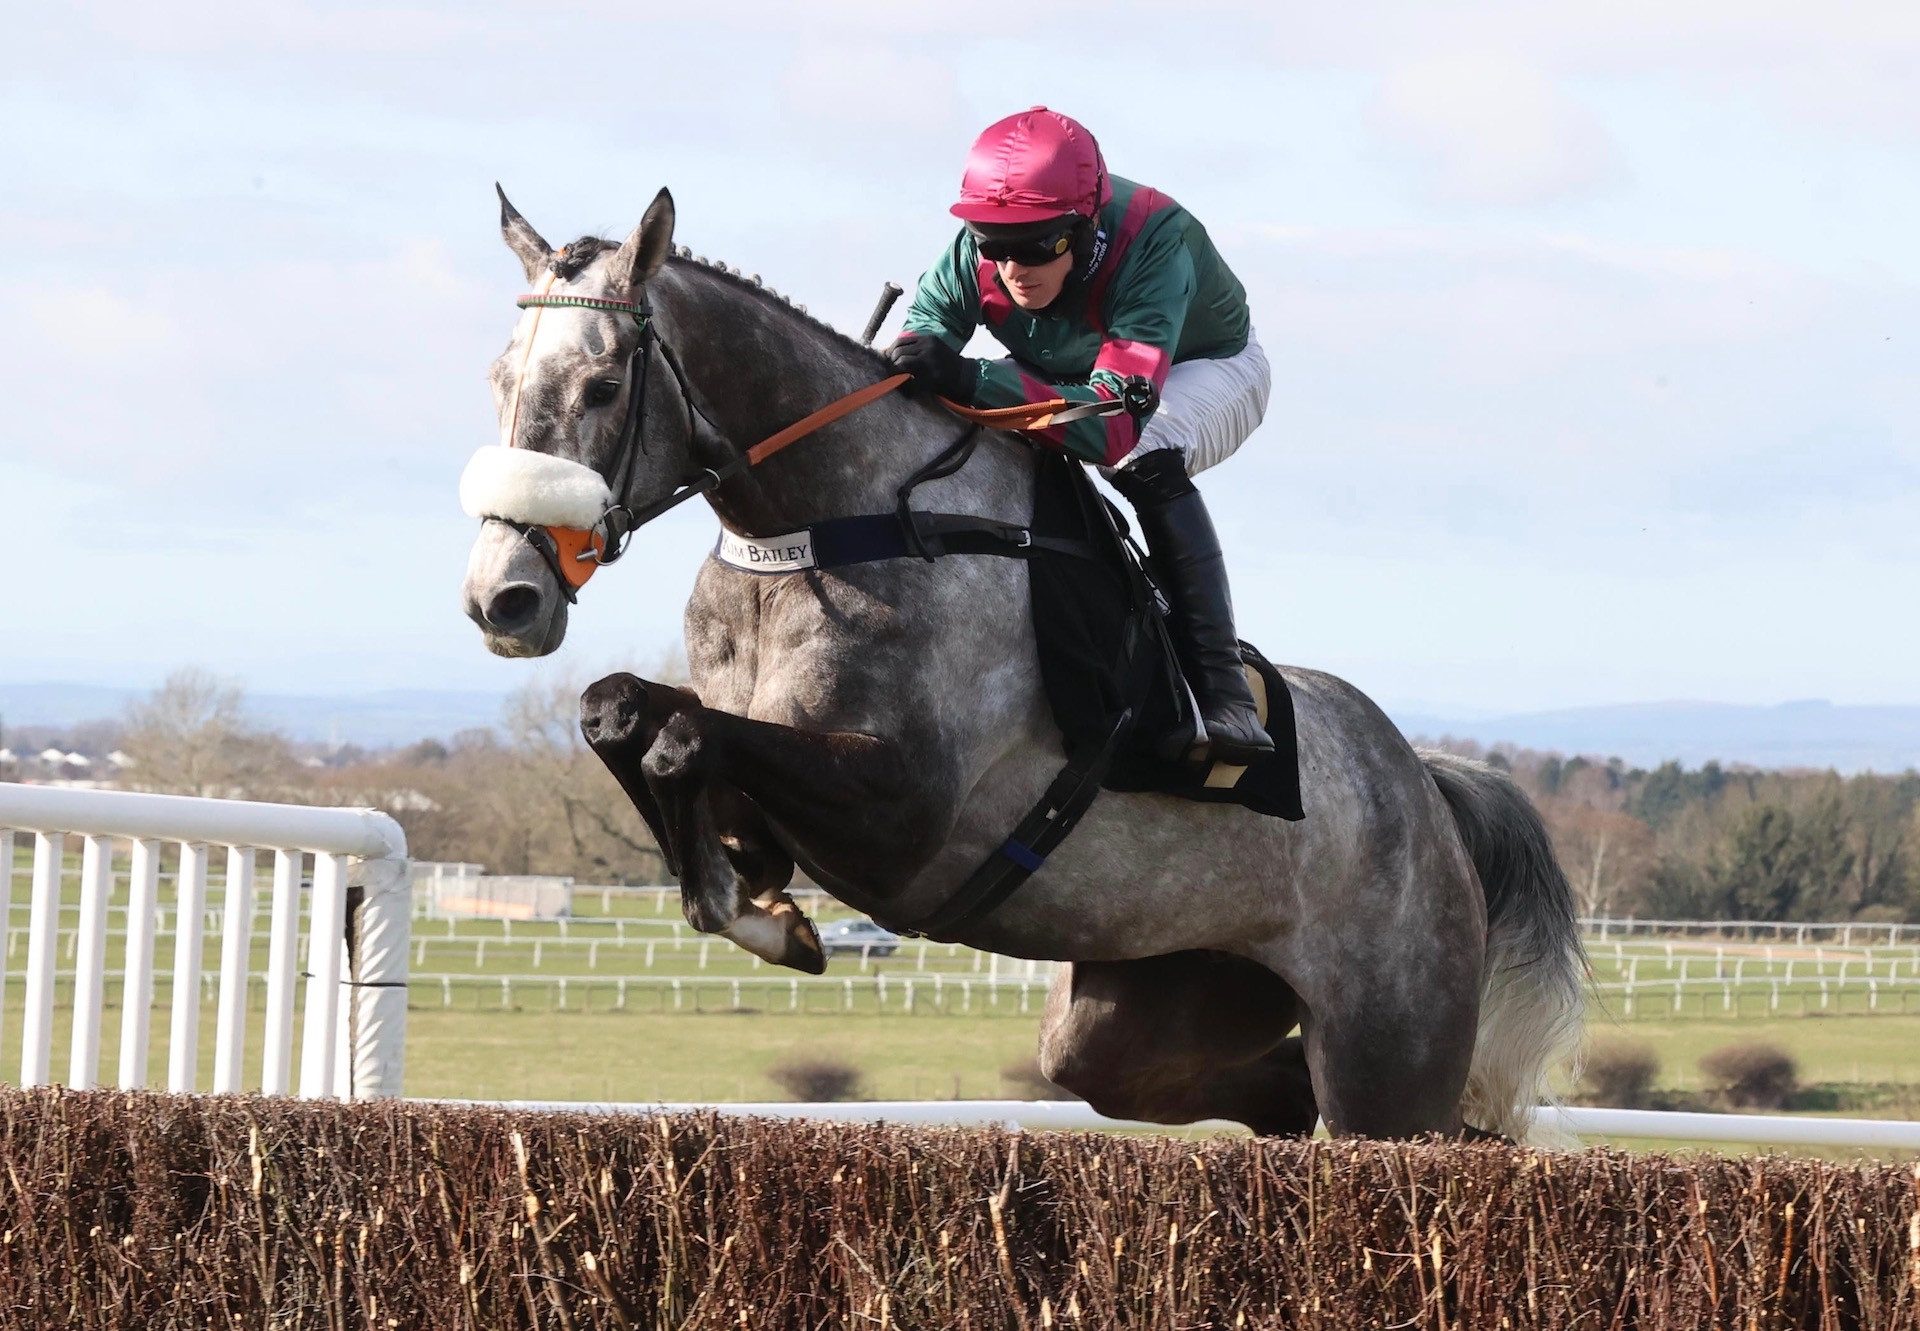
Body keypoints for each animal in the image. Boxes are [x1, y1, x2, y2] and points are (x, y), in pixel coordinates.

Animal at [456, 189, 1582, 1144]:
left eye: (603, 385)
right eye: (500, 381)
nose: (502, 595)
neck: (831, 525)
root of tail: (1427, 788)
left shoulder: (901, 812)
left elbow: (687, 736)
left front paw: (757, 909)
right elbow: (619, 711)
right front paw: (753, 892)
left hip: (1388, 1050)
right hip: (1150, 1005)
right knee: (1235, 1089)